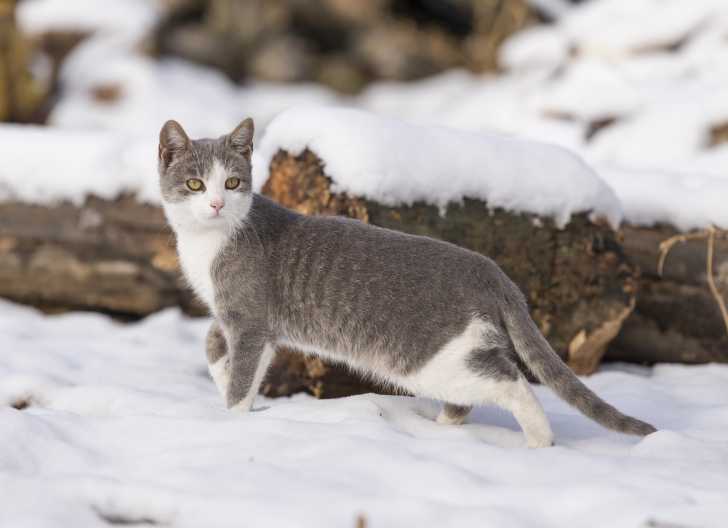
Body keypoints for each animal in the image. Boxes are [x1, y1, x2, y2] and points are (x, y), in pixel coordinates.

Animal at [156, 118, 656, 446]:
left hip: (431, 357)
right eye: (196, 184)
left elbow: (243, 376)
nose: (217, 203)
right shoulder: (236, 316)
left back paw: (539, 440)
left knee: (511, 381)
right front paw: (221, 375)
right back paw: (436, 429)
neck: (209, 243)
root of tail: (493, 273)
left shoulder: (252, 319)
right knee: (470, 396)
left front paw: (234, 420)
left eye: (233, 182)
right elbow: (213, 343)